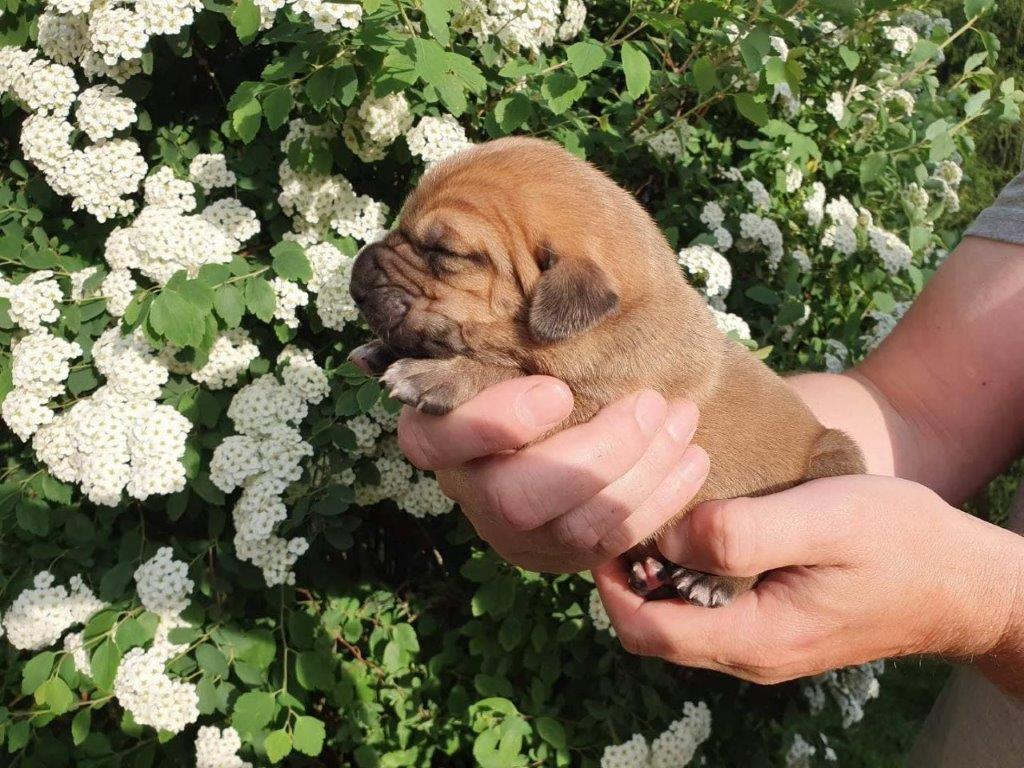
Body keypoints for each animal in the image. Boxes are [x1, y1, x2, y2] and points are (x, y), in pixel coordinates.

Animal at [348, 138, 868, 606]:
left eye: (444, 252)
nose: (358, 268)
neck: (613, 319)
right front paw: (378, 352)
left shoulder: (597, 406)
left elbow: (509, 375)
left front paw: (438, 376)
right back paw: (651, 568)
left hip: (832, 461)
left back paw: (711, 581)